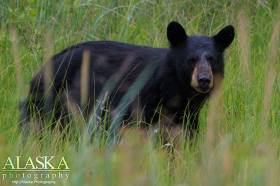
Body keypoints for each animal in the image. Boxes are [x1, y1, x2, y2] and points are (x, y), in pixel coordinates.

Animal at [19, 21, 234, 138]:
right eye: (191, 60)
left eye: (212, 59)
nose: (204, 79)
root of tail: (45, 66)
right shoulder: (142, 102)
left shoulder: (186, 114)